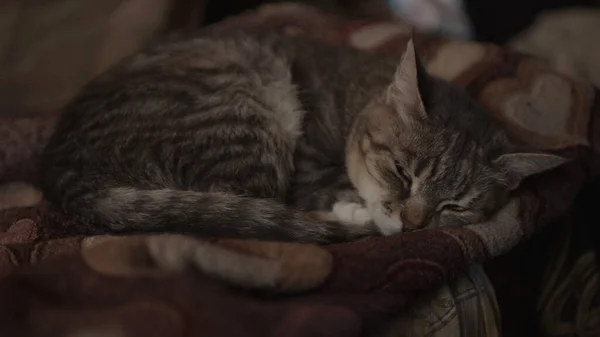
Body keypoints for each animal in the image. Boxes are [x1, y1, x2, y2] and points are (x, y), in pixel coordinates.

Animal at [38, 30, 568, 243]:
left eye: (455, 206)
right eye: (401, 172)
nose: (414, 225)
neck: (358, 96)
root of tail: (65, 169)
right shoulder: (310, 157)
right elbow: (321, 187)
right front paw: (363, 211)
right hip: (245, 105)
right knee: (248, 202)